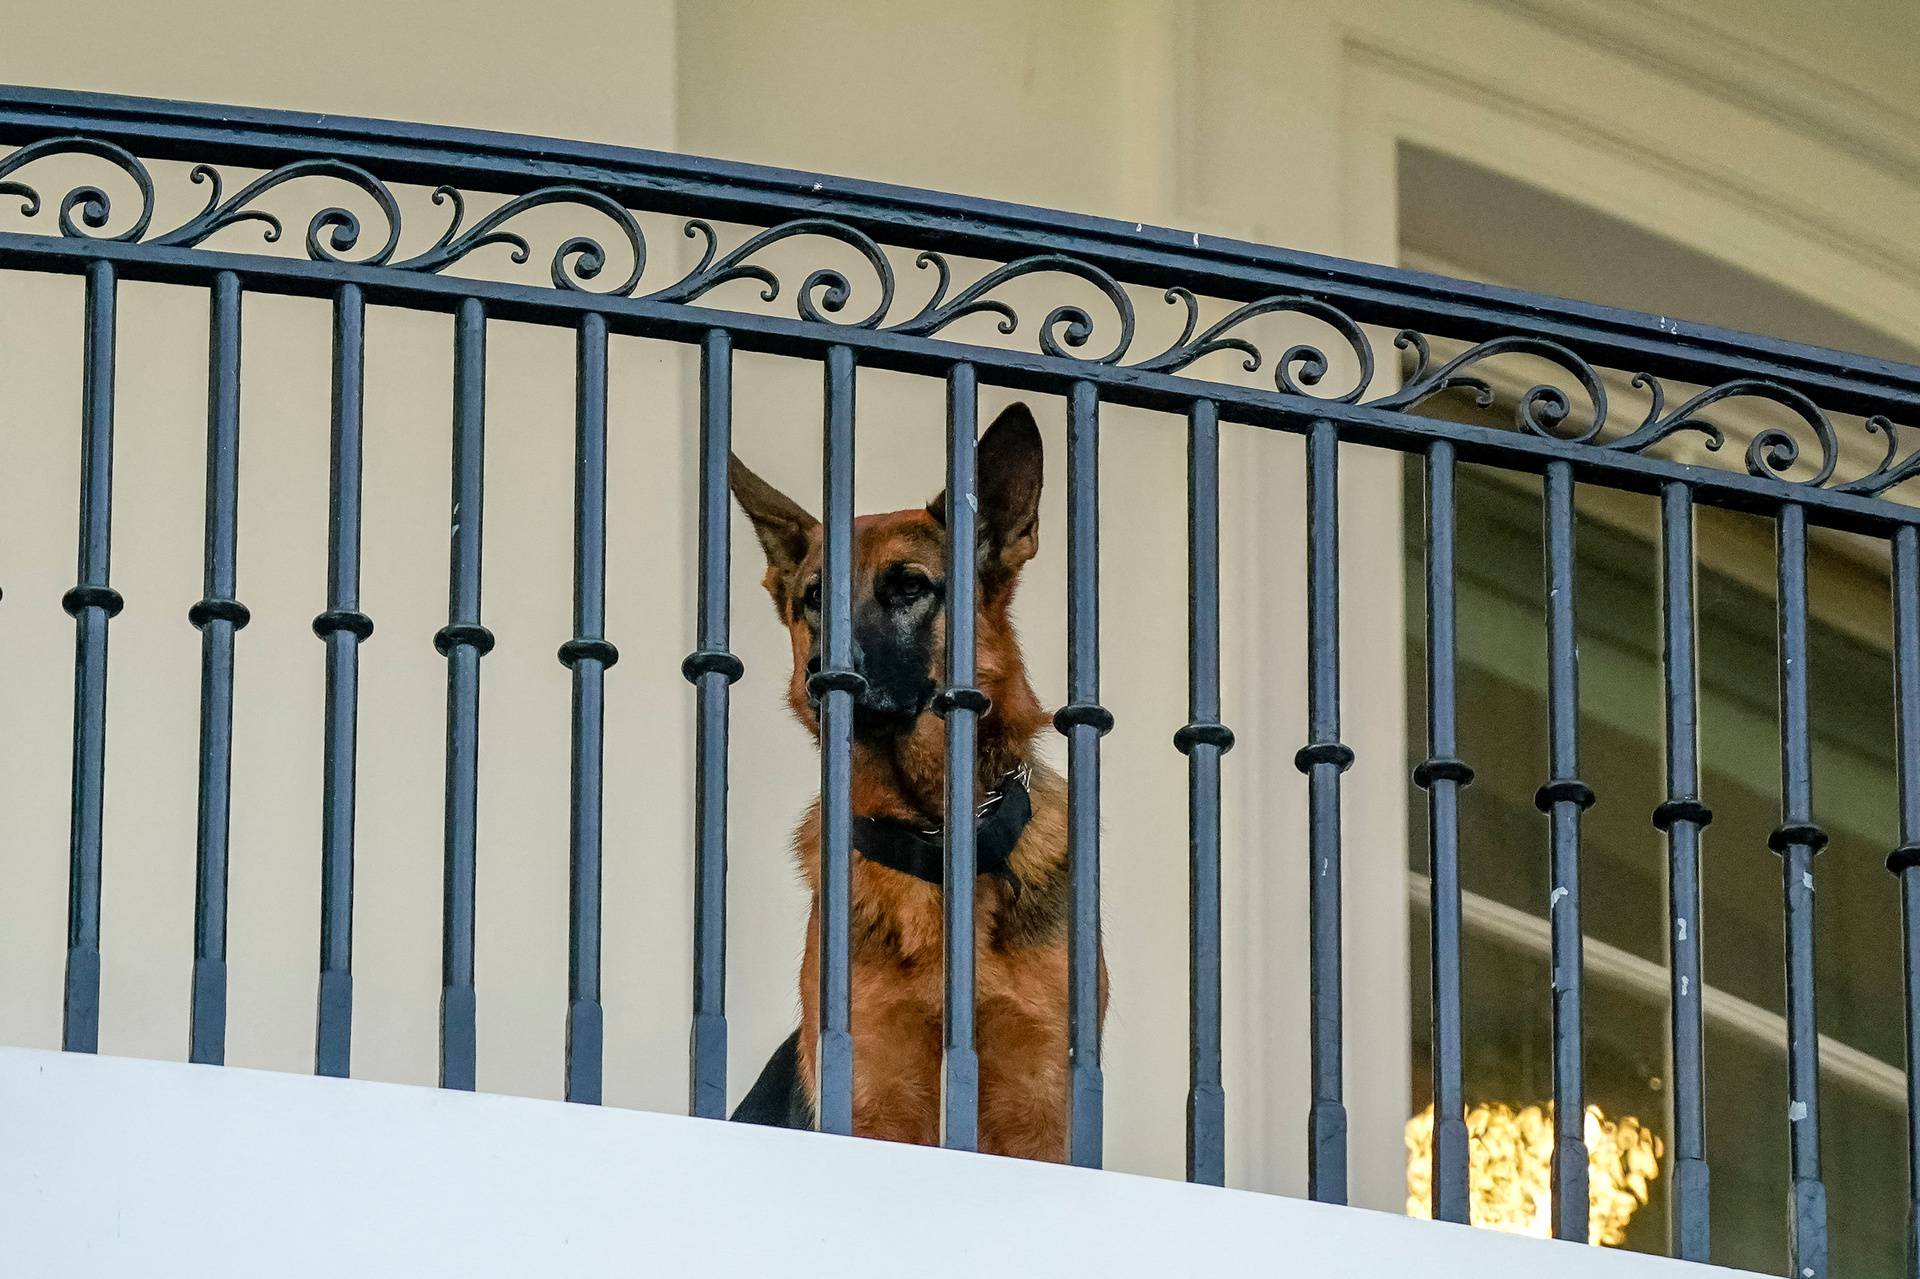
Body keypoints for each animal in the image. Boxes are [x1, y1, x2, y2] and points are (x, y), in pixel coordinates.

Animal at [721, 401, 1113, 1152]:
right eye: (814, 597)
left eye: (908, 587)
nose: (820, 674)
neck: (932, 832)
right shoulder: (873, 1097)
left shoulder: (1043, 1107)